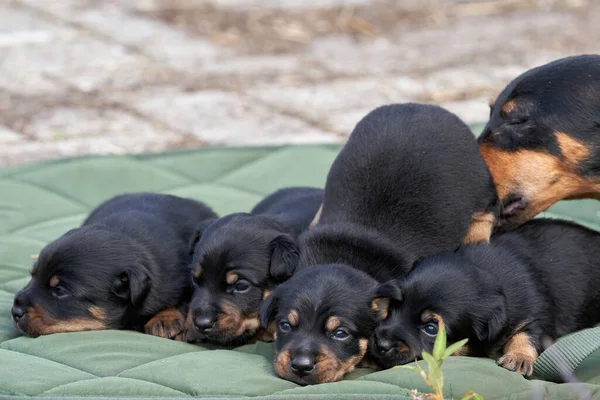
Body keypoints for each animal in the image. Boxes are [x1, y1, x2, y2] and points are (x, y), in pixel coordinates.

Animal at [368, 217, 600, 376]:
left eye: (432, 329)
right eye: (393, 307)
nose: (380, 343)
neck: (491, 275)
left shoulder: (536, 315)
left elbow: (527, 336)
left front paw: (518, 357)